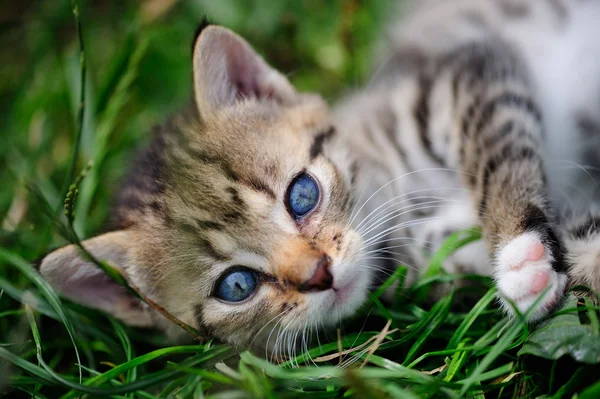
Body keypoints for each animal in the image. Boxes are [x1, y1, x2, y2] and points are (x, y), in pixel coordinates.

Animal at [39, 0, 600, 354]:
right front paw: (527, 266)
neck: (397, 198)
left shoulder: (465, 74)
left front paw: (517, 245)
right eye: (236, 285)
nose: (319, 275)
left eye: (302, 195)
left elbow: (498, 159)